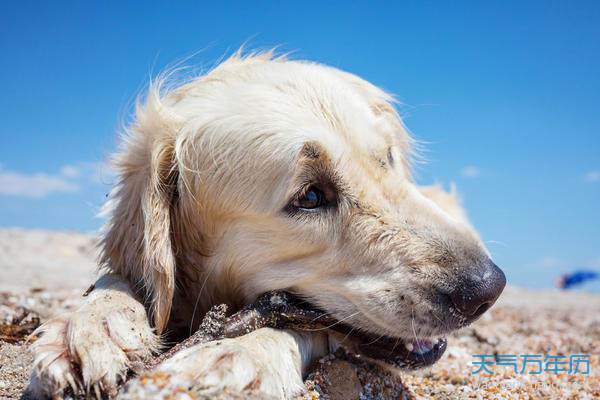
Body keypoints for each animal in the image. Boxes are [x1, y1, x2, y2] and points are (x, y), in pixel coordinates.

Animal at [29, 51, 506, 398]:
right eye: (310, 196)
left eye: (387, 159)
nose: (488, 288)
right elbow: (119, 278)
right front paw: (89, 328)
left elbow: (294, 325)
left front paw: (236, 358)